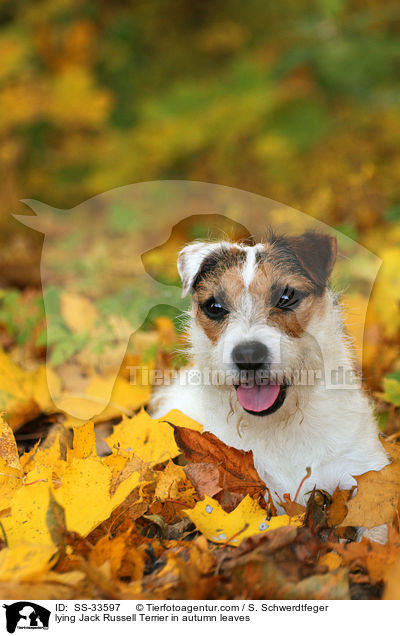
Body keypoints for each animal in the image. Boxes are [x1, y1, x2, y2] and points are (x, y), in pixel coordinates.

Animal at [150, 234, 388, 540]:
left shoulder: (365, 471)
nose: (248, 356)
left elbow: (377, 530)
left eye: (286, 298)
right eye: (214, 306)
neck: (279, 426)